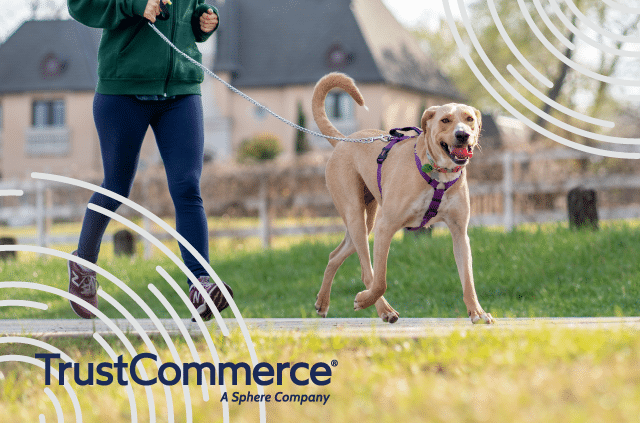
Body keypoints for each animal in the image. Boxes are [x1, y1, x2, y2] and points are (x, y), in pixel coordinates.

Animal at [310, 72, 496, 324]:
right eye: (445, 120)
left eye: (469, 119)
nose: (463, 134)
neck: (437, 173)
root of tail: (344, 140)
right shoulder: (386, 226)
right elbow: (380, 280)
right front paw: (365, 300)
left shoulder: (459, 233)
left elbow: (468, 279)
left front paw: (477, 312)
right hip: (356, 215)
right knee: (367, 272)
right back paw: (381, 308)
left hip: (366, 221)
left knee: (335, 255)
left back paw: (322, 302)